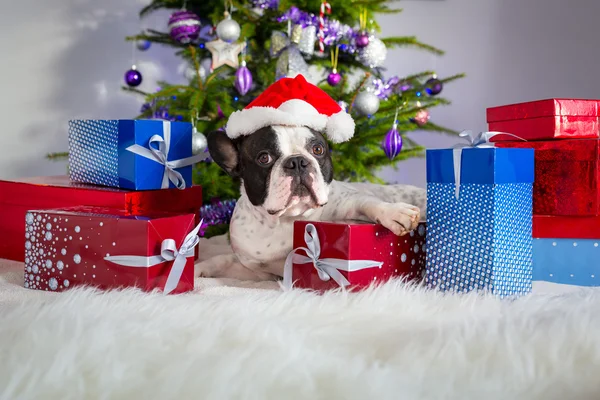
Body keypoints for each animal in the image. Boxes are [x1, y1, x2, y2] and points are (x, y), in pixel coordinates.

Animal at [195, 75, 424, 282]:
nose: (297, 162)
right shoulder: (257, 271)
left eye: (318, 149)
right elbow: (223, 260)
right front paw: (198, 268)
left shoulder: (349, 201)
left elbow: (369, 203)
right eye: (264, 158)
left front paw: (396, 213)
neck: (286, 221)